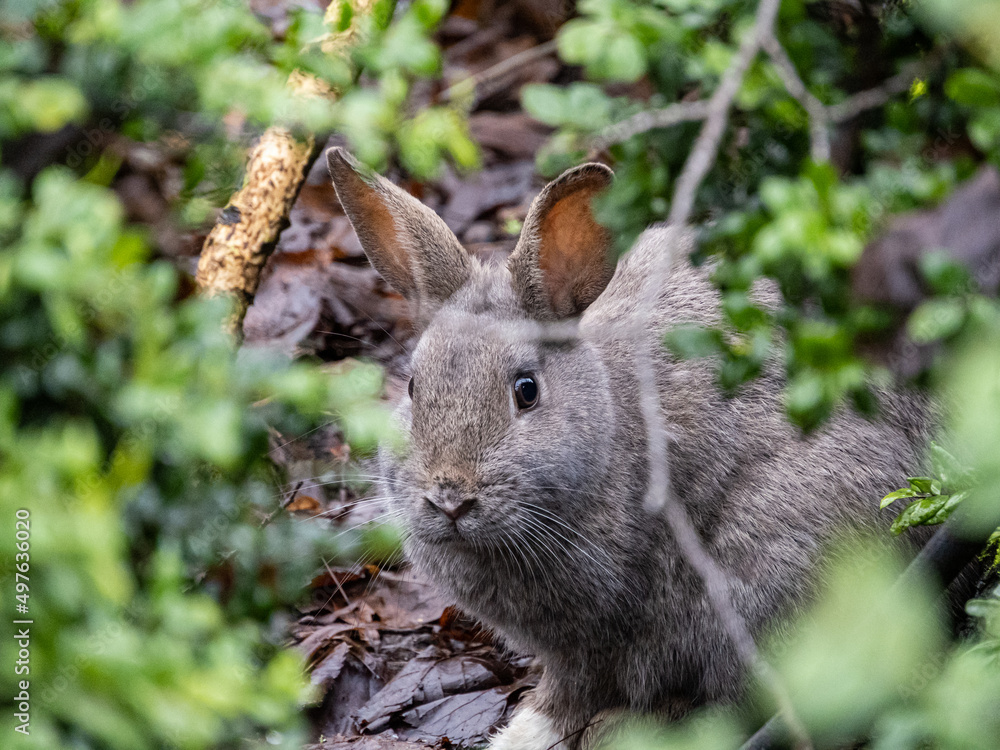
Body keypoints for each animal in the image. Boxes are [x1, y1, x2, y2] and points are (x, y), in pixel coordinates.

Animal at [325, 147, 930, 749]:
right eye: (412, 387)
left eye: (526, 390)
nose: (450, 497)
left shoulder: (598, 637)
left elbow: (573, 691)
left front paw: (522, 733)